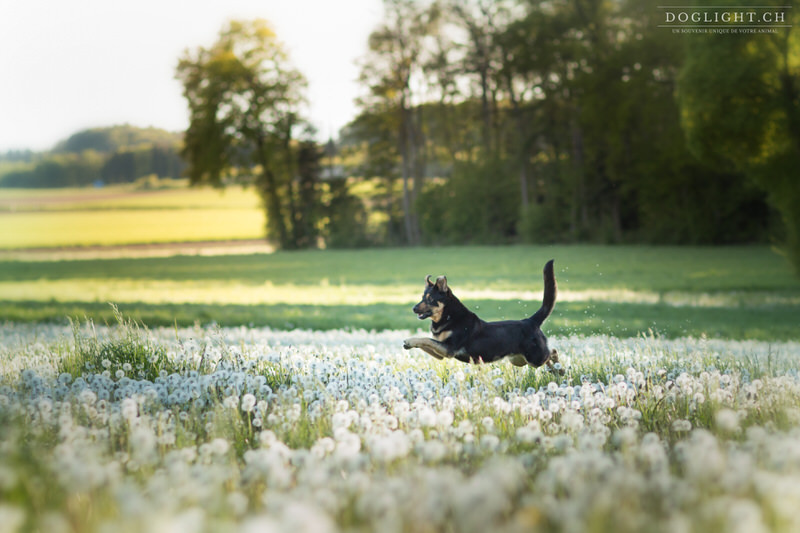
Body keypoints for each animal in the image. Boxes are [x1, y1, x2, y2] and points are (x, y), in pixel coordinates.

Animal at [404, 256, 560, 366]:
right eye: (422, 297)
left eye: (430, 299)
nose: (413, 308)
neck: (448, 317)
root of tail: (530, 321)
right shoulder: (441, 354)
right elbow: (426, 341)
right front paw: (410, 344)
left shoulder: (449, 349)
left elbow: (426, 339)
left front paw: (409, 340)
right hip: (519, 360)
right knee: (549, 358)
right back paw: (558, 371)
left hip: (535, 358)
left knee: (552, 352)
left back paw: (559, 368)